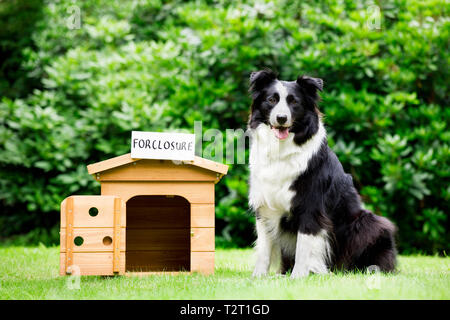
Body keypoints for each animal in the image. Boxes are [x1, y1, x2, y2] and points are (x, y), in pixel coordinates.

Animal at [248, 69, 396, 278]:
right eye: (271, 100)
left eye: (294, 102)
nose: (281, 118)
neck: (281, 150)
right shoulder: (264, 206)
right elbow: (264, 247)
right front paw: (258, 277)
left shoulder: (311, 206)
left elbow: (304, 245)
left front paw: (298, 276)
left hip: (371, 222)